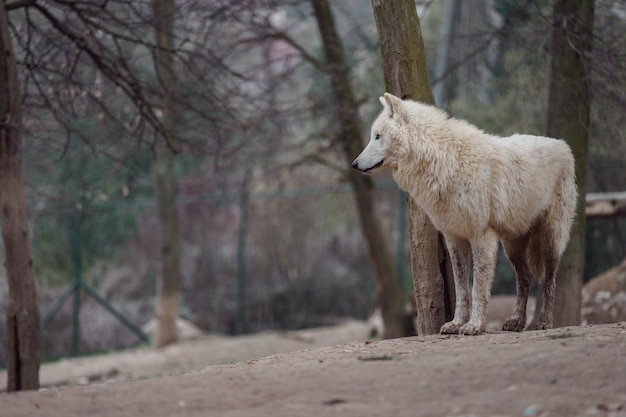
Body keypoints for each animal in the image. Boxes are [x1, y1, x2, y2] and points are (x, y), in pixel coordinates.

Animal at [352, 93, 576, 334]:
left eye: (377, 136)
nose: (354, 164)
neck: (445, 162)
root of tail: (562, 144)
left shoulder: (482, 236)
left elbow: (478, 287)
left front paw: (474, 325)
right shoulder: (454, 239)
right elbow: (461, 289)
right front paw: (456, 323)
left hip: (550, 239)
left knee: (549, 280)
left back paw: (544, 322)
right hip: (512, 246)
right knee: (525, 278)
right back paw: (516, 321)